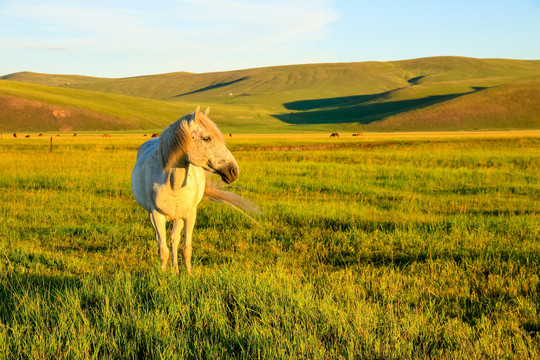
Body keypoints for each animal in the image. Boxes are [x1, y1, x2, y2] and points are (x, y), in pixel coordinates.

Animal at [132, 105, 256, 274]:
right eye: (207, 138)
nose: (233, 171)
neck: (173, 184)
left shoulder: (190, 215)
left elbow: (186, 248)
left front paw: (188, 274)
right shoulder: (157, 216)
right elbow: (163, 250)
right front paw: (162, 275)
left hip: (178, 216)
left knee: (174, 239)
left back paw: (176, 270)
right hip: (154, 215)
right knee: (162, 240)